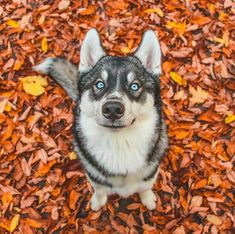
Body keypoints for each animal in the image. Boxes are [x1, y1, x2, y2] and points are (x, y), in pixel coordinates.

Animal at [34, 28, 168, 210]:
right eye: (99, 84)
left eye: (134, 86)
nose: (112, 109)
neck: (119, 145)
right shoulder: (95, 177)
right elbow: (100, 190)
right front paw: (98, 202)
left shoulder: (150, 173)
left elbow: (145, 187)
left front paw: (147, 199)